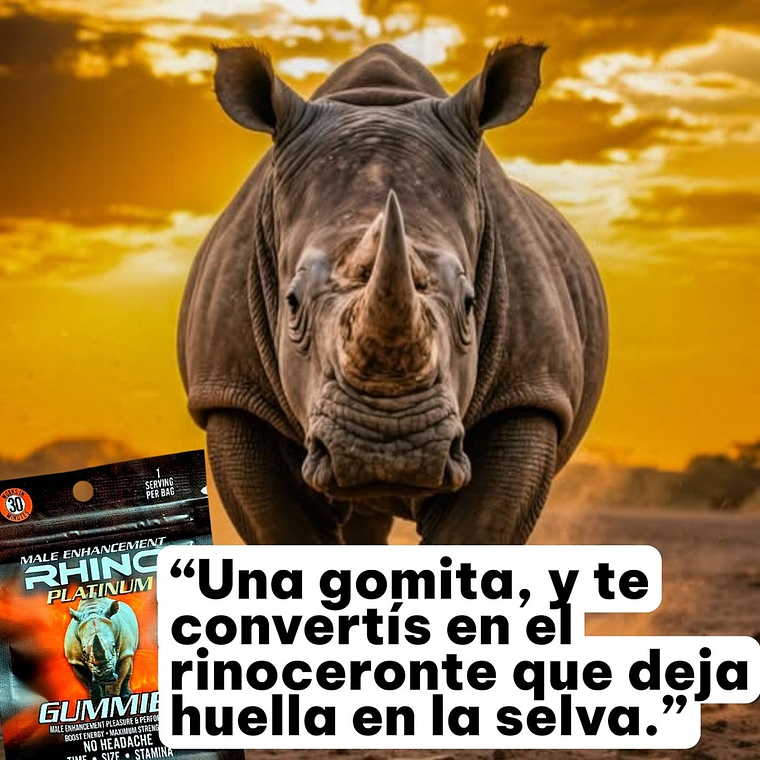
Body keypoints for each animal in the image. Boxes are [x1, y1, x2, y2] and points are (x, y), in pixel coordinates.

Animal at [179, 42, 608, 544]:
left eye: (469, 303)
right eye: (291, 303)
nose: (389, 444)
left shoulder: (531, 391)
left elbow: (477, 531)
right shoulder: (231, 393)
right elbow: (285, 530)